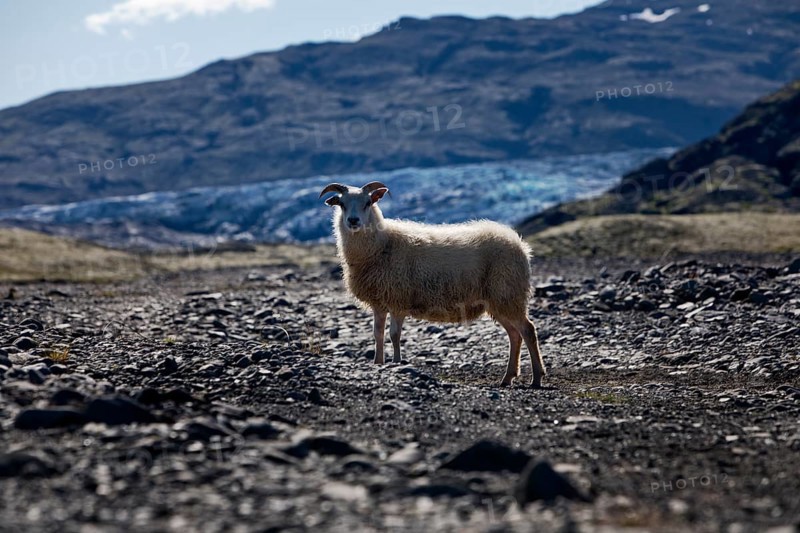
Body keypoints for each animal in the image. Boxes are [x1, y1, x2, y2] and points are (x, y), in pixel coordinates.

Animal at [319, 181, 546, 387]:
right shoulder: (379, 302)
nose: (353, 221)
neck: (381, 244)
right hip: (498, 300)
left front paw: (397, 363)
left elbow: (394, 335)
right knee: (515, 335)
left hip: (508, 293)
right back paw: (508, 378)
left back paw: (536, 378)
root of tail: (519, 244)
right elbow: (378, 335)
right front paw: (378, 363)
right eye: (342, 204)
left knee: (528, 330)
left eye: (368, 203)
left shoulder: (398, 299)